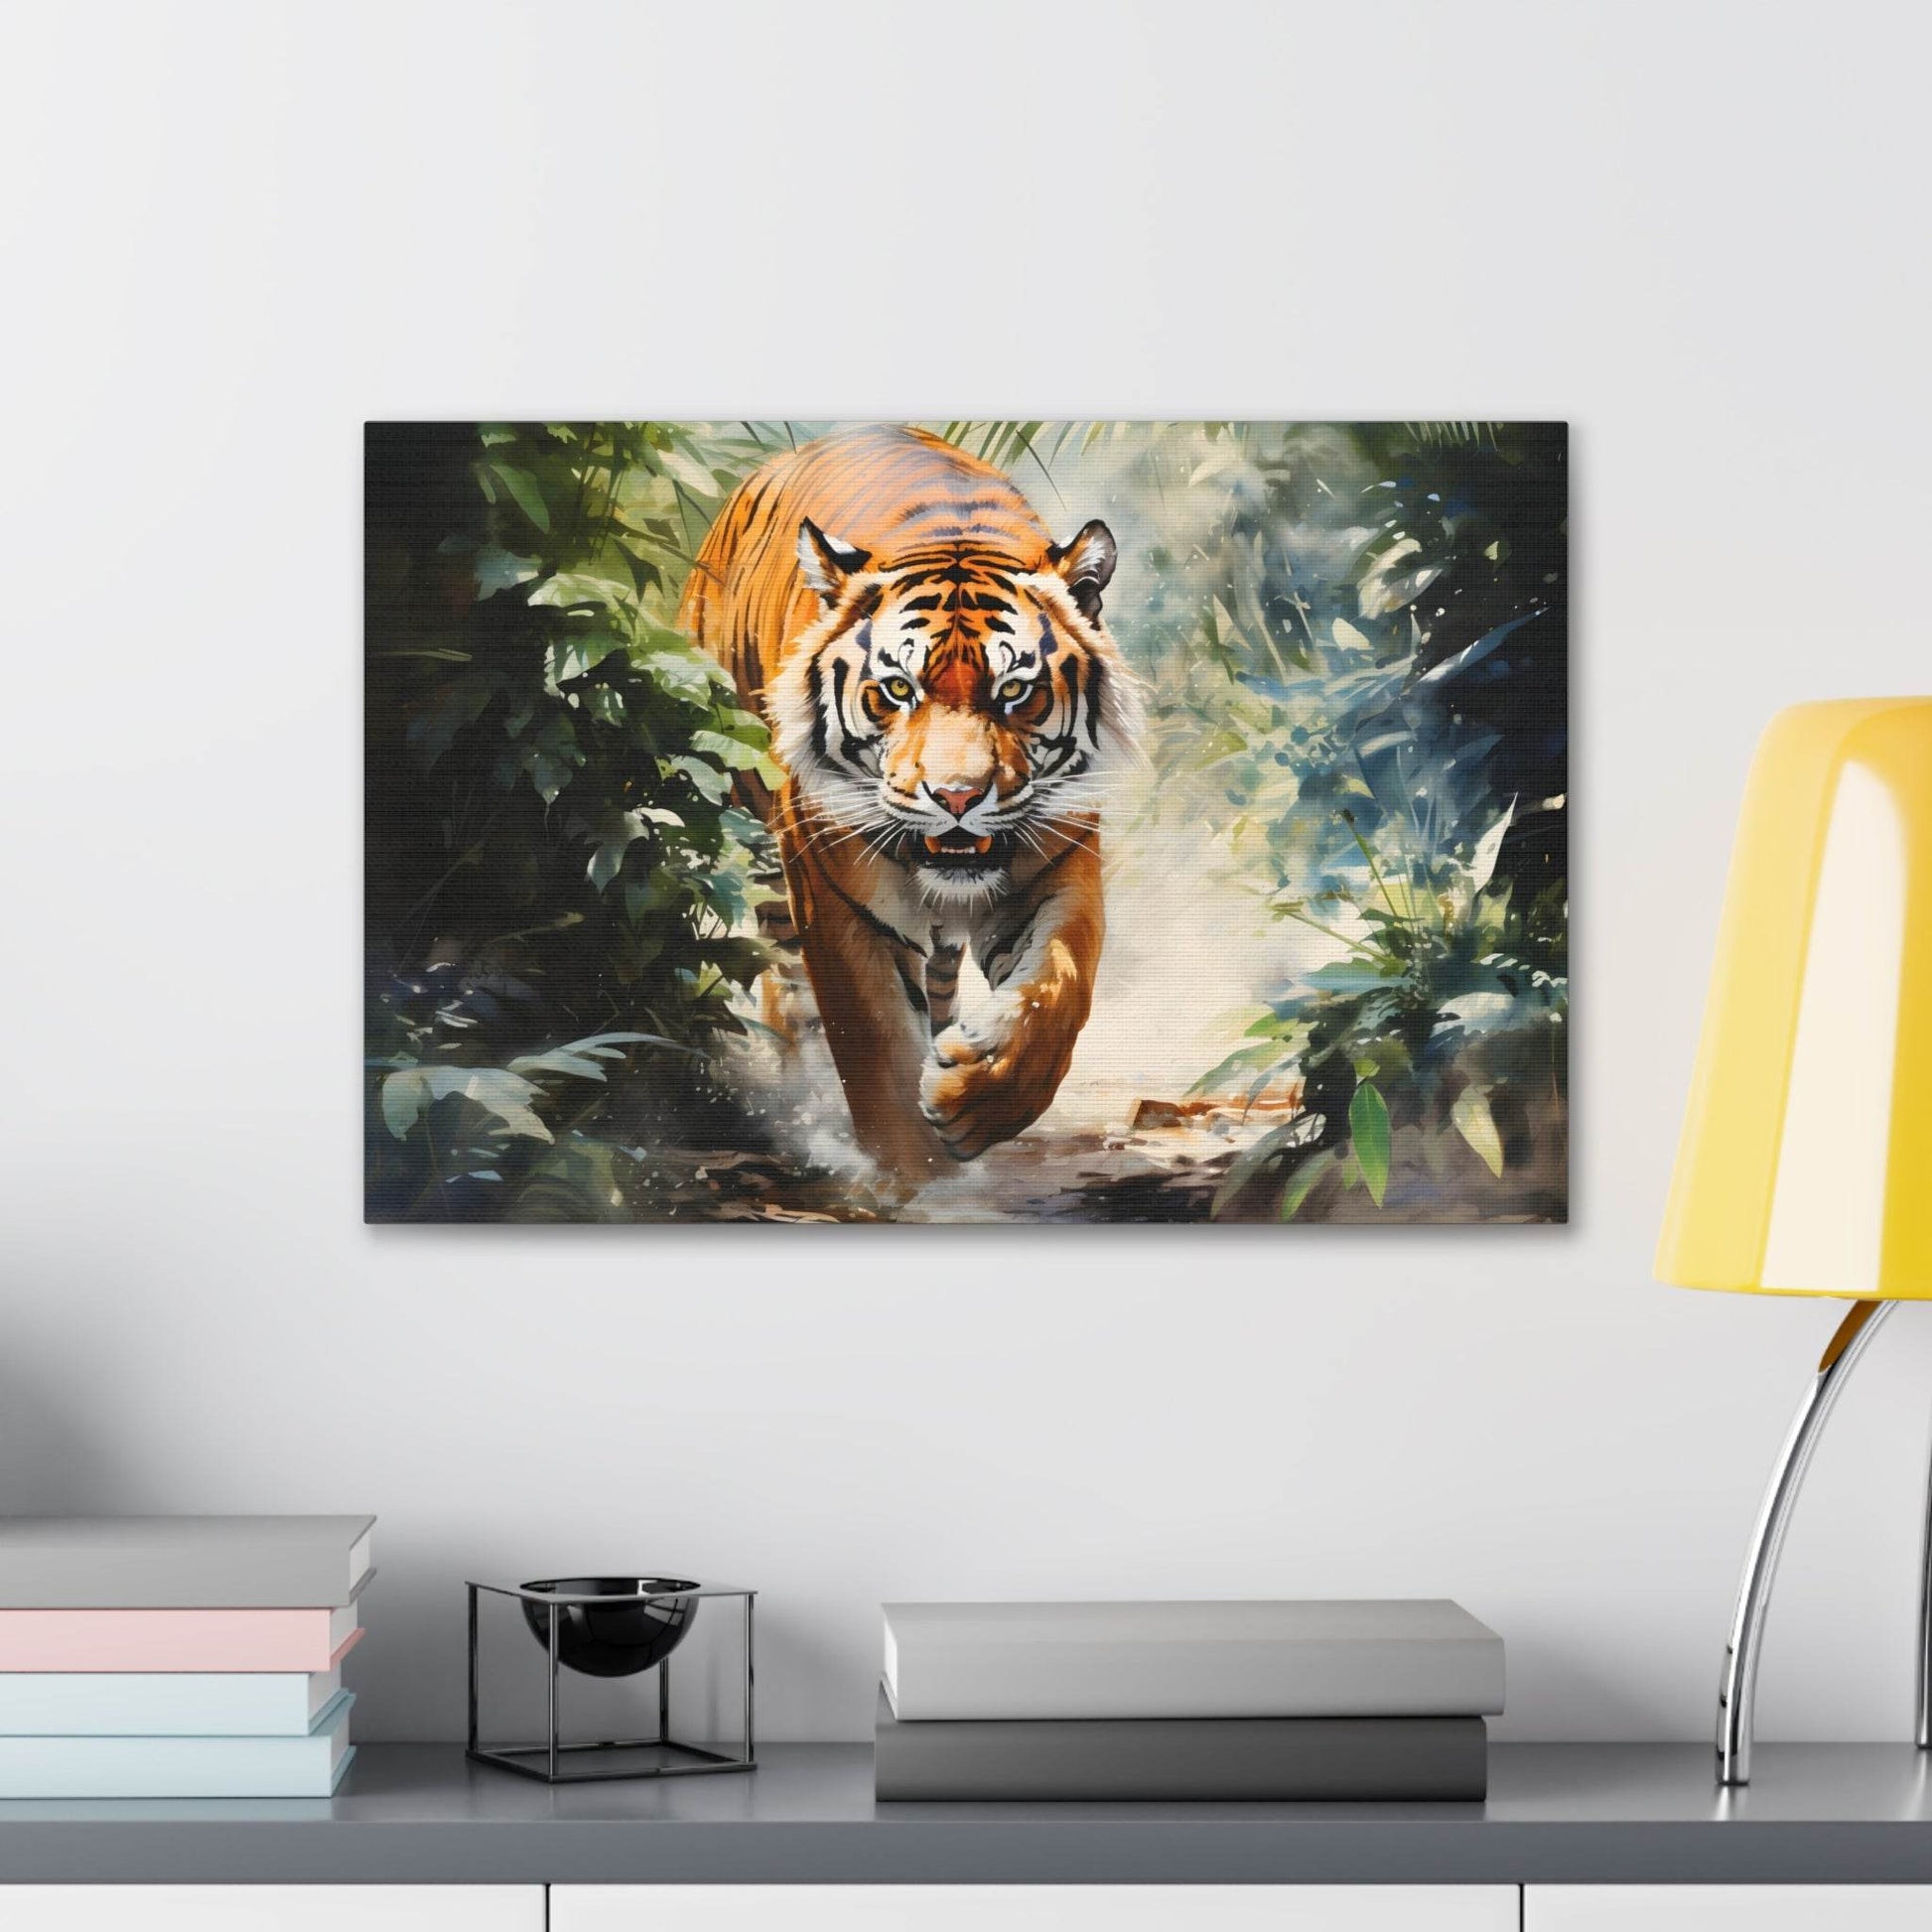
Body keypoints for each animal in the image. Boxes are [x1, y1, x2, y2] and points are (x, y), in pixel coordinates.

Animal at [679, 424, 1141, 1182]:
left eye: (1015, 691)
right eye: (898, 689)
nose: (957, 796)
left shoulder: (1058, 865)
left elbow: (1060, 990)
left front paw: (973, 1098)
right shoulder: (836, 898)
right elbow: (874, 1046)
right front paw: (916, 1179)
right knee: (788, 993)